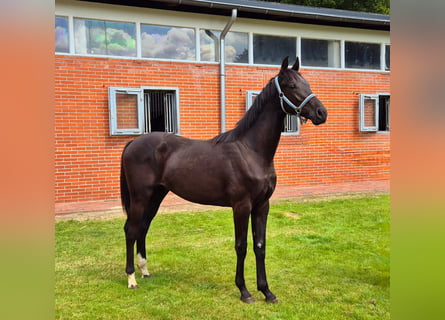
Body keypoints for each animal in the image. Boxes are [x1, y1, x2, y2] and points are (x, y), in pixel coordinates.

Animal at [119, 56, 328, 304]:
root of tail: (133, 142)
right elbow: (241, 246)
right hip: (140, 197)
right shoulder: (241, 206)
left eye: (307, 83)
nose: (321, 112)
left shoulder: (262, 206)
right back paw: (131, 279)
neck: (252, 151)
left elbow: (260, 246)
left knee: (142, 228)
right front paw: (245, 291)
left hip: (156, 196)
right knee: (131, 230)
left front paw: (267, 292)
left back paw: (145, 271)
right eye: (292, 86)